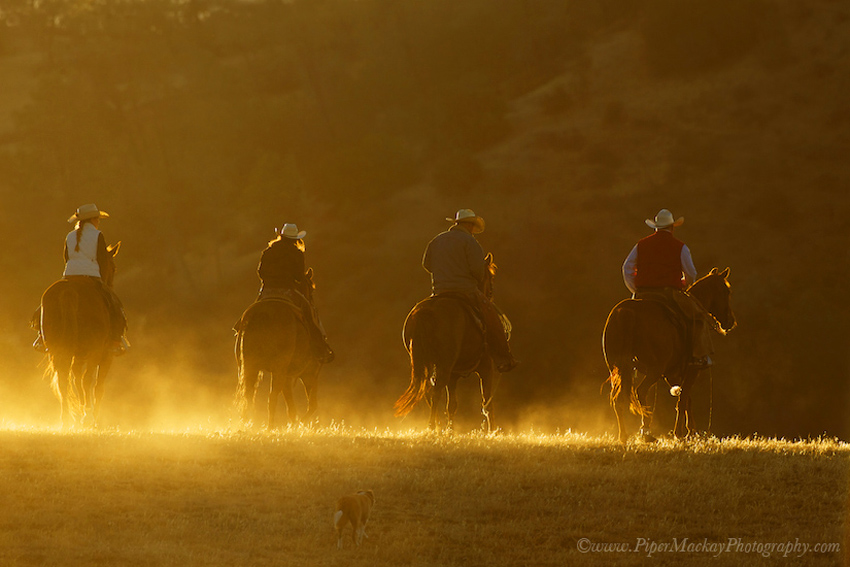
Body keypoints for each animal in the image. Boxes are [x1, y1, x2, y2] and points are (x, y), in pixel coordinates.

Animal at [40, 242, 121, 428]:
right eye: (113, 268)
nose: (111, 285)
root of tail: (69, 292)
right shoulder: (105, 356)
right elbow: (97, 386)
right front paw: (93, 416)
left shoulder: (78, 356)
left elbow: (76, 380)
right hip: (94, 351)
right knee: (88, 380)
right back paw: (88, 418)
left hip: (57, 350)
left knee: (63, 381)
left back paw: (66, 419)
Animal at [235, 268, 322, 428]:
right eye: (311, 290)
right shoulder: (310, 373)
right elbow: (312, 405)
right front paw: (299, 424)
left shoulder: (288, 377)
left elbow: (292, 407)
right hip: (278, 368)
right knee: (272, 396)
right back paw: (270, 427)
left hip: (248, 367)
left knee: (249, 396)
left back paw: (250, 424)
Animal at [392, 253, 504, 430]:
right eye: (490, 279)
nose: (489, 294)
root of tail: (427, 311)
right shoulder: (486, 367)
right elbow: (487, 401)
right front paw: (493, 431)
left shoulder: (454, 374)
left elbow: (452, 405)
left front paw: (450, 431)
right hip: (444, 365)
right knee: (435, 389)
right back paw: (432, 426)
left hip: (427, 363)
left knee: (428, 390)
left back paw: (436, 425)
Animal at [600, 268, 732, 444]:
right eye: (727, 291)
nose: (731, 321)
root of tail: (626, 312)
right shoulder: (692, 370)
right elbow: (683, 399)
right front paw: (682, 433)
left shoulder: (671, 374)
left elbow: (686, 399)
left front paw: (690, 431)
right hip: (654, 369)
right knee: (641, 391)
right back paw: (646, 432)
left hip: (618, 369)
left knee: (618, 398)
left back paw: (624, 436)